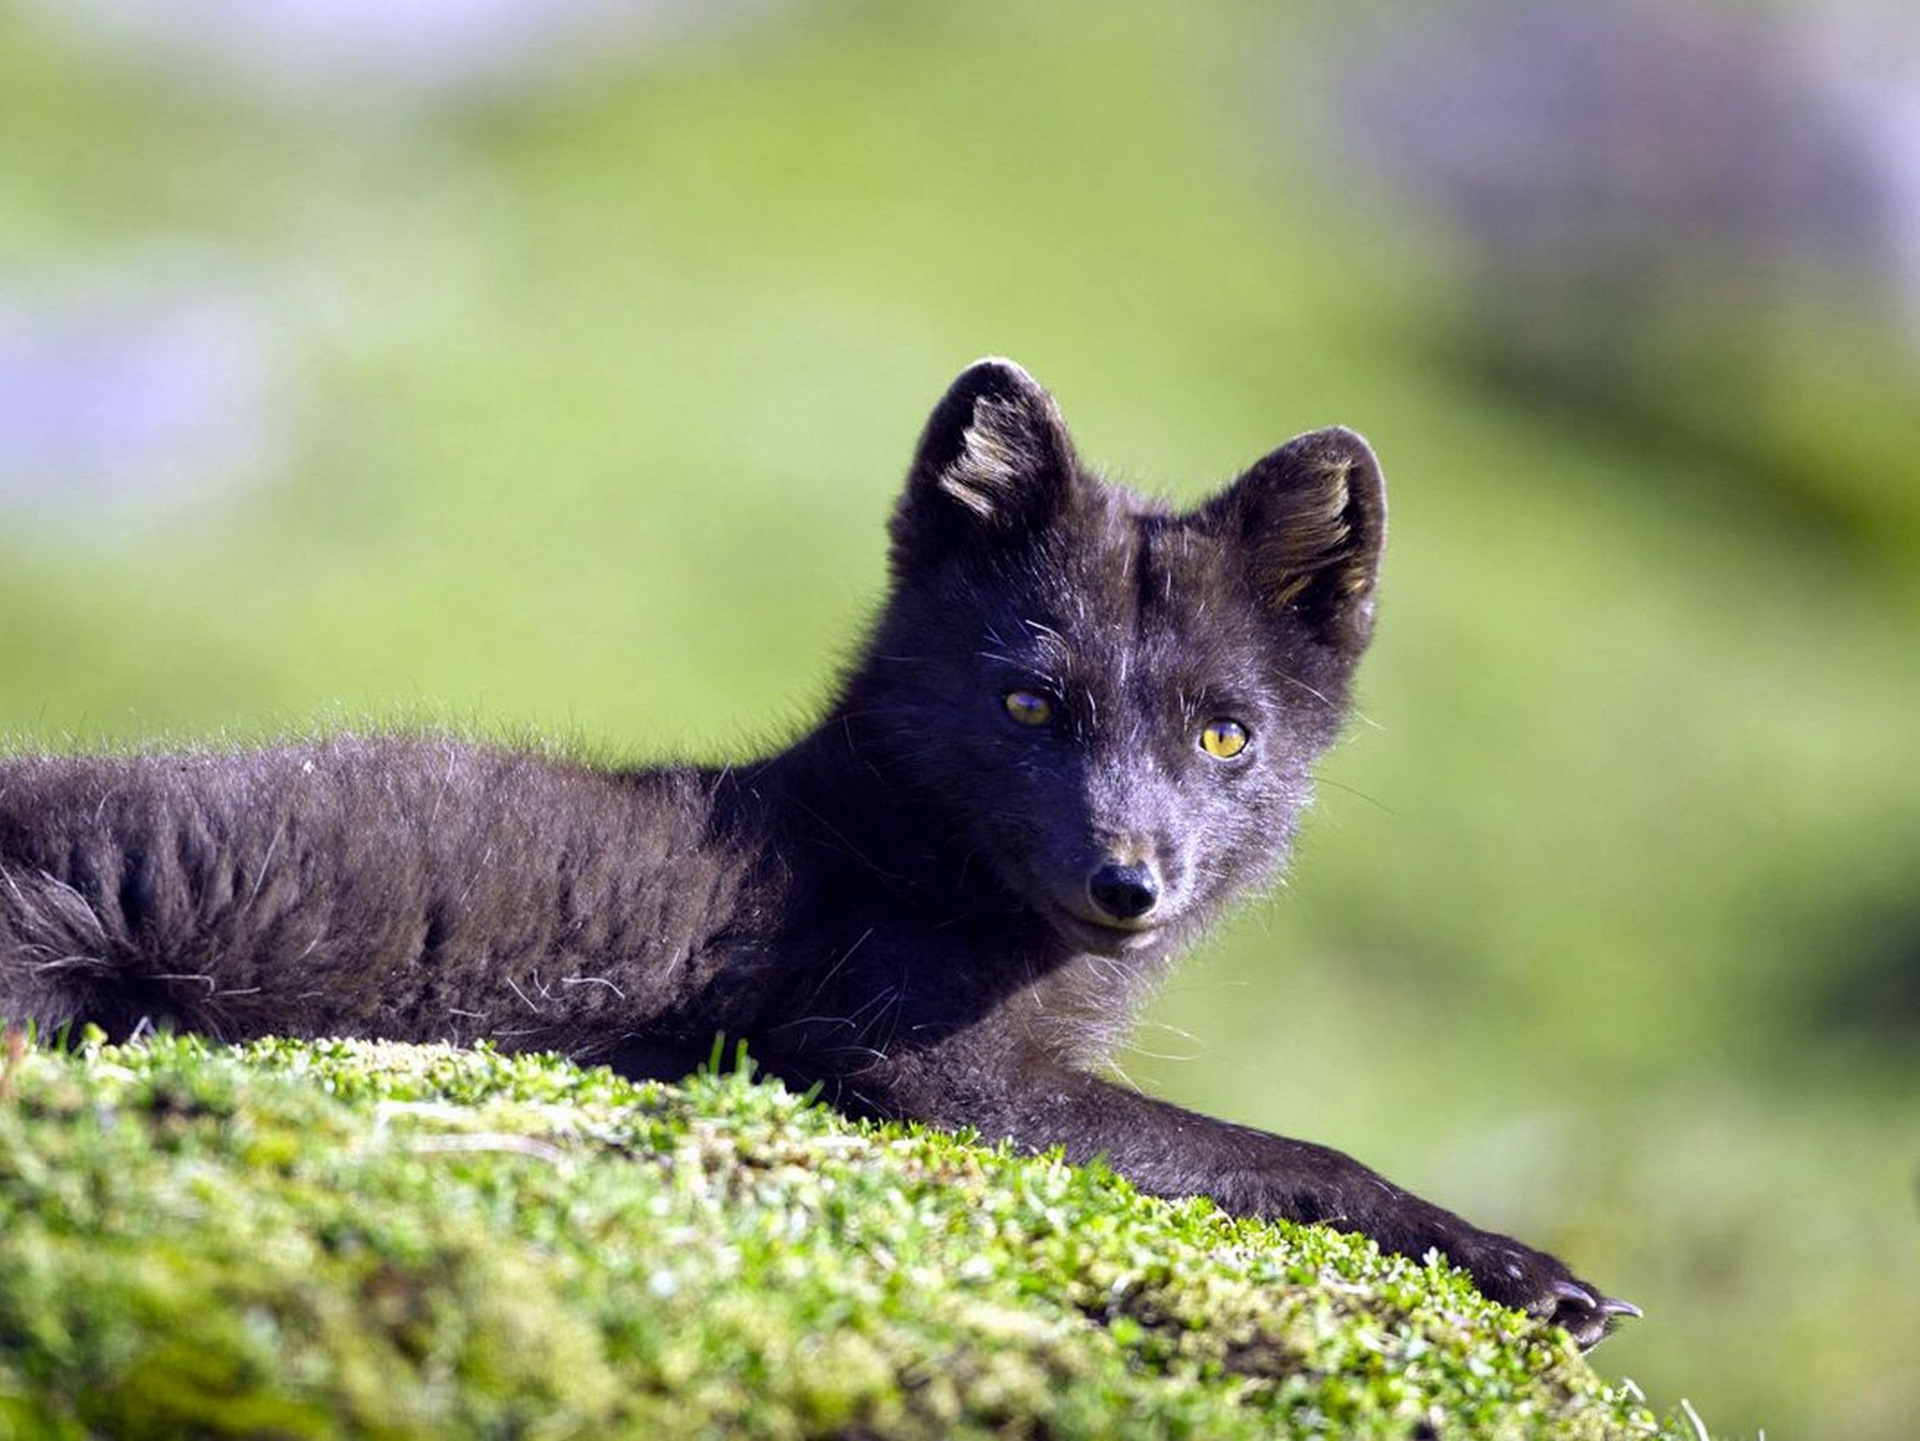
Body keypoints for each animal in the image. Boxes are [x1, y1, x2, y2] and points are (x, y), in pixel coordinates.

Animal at [0, 358, 1635, 1343]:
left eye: (1226, 735)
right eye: (1029, 701)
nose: (1127, 883)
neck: (907, 856)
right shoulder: (923, 1067)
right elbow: (1290, 1153)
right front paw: (1520, 1262)